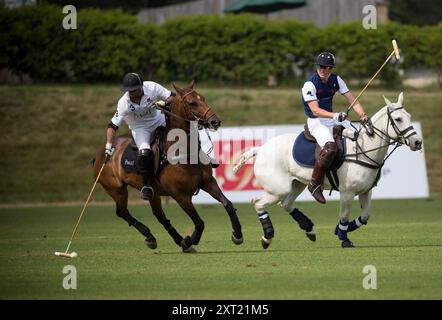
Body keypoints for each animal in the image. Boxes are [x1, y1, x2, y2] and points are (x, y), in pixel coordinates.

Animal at [93, 81, 243, 254]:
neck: (184, 150)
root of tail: (99, 155)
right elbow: (199, 222)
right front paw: (190, 240)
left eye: (203, 98)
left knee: (159, 215)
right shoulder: (181, 195)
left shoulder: (208, 182)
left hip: (153, 193)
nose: (215, 122)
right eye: (191, 102)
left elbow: (228, 205)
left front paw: (237, 234)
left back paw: (172, 240)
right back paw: (152, 236)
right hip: (116, 189)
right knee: (122, 212)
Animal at [233, 92, 424, 248]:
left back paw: (309, 229)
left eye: (409, 116)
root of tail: (260, 149)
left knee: (285, 204)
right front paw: (344, 238)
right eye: (398, 119)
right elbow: (344, 215)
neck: (364, 148)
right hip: (279, 188)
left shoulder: (365, 191)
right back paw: (267, 237)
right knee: (258, 203)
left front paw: (338, 230)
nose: (417, 142)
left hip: (297, 184)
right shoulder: (347, 192)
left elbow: (365, 216)